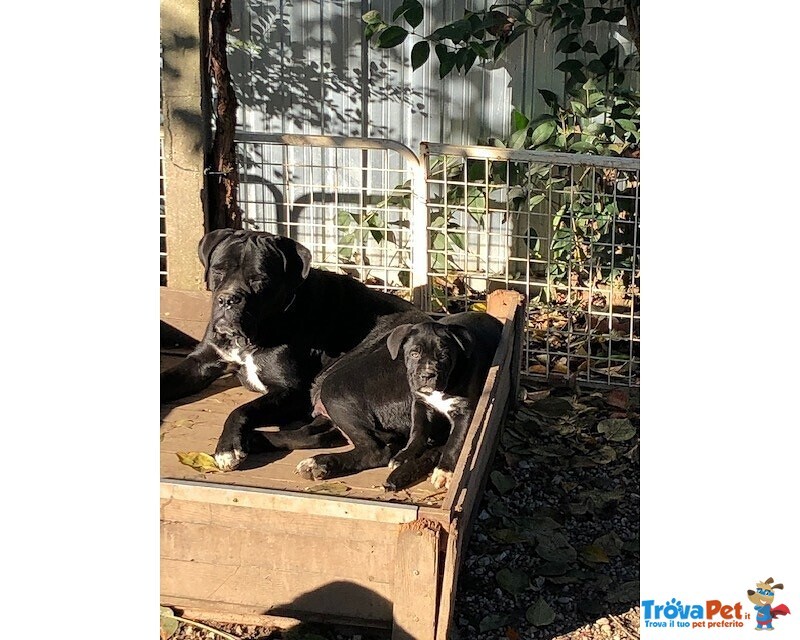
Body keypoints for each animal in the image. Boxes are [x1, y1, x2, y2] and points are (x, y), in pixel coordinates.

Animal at [159, 230, 416, 470]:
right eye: (217, 270)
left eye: (259, 279)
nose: (228, 300)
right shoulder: (201, 363)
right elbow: (166, 380)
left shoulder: (291, 391)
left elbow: (242, 410)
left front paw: (228, 447)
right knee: (321, 434)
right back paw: (259, 441)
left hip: (336, 383)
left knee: (375, 449)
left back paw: (320, 463)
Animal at [294, 312, 500, 490]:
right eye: (414, 354)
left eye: (444, 356)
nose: (427, 375)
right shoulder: (420, 404)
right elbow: (418, 432)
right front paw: (406, 455)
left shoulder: (465, 412)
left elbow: (455, 441)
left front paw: (445, 471)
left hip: (332, 388)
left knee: (375, 451)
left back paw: (319, 462)